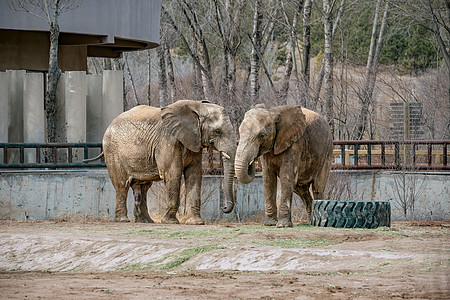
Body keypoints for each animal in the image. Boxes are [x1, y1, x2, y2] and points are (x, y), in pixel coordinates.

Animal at [99, 99, 237, 224]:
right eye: (217, 131)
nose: (224, 207)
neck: (198, 106)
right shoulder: (168, 140)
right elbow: (173, 174)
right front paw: (170, 221)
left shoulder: (194, 141)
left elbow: (195, 174)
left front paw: (196, 222)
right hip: (113, 151)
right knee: (122, 185)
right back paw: (123, 220)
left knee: (143, 187)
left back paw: (145, 221)